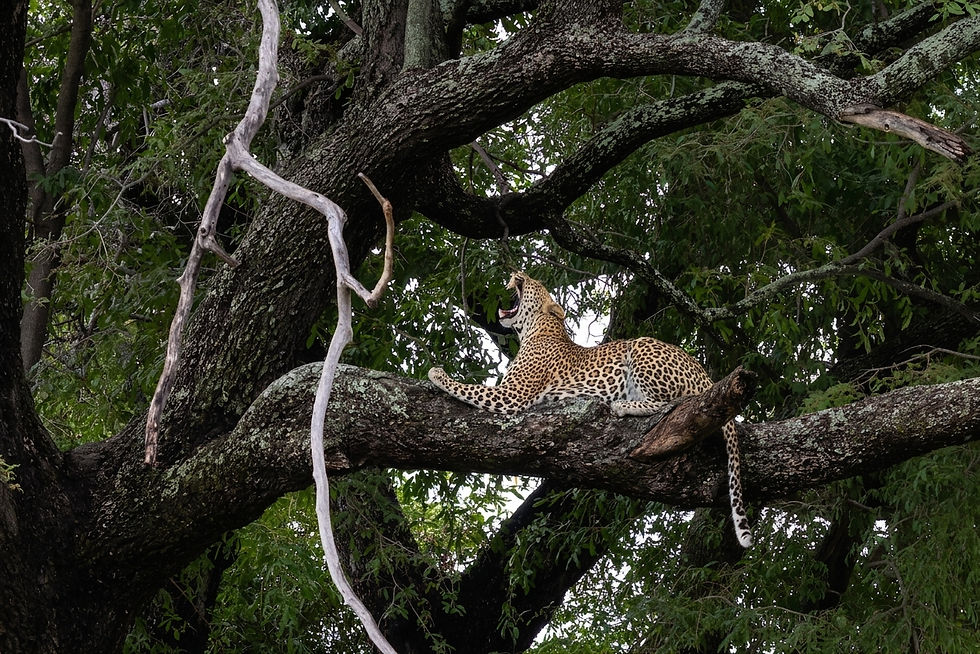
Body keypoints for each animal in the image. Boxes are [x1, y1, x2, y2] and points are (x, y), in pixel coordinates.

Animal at [428, 271, 753, 547]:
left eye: (532, 281)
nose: (517, 273)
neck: (535, 330)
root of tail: (707, 375)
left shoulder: (512, 395)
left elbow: (470, 387)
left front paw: (437, 373)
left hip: (642, 348)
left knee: (671, 404)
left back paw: (622, 405)